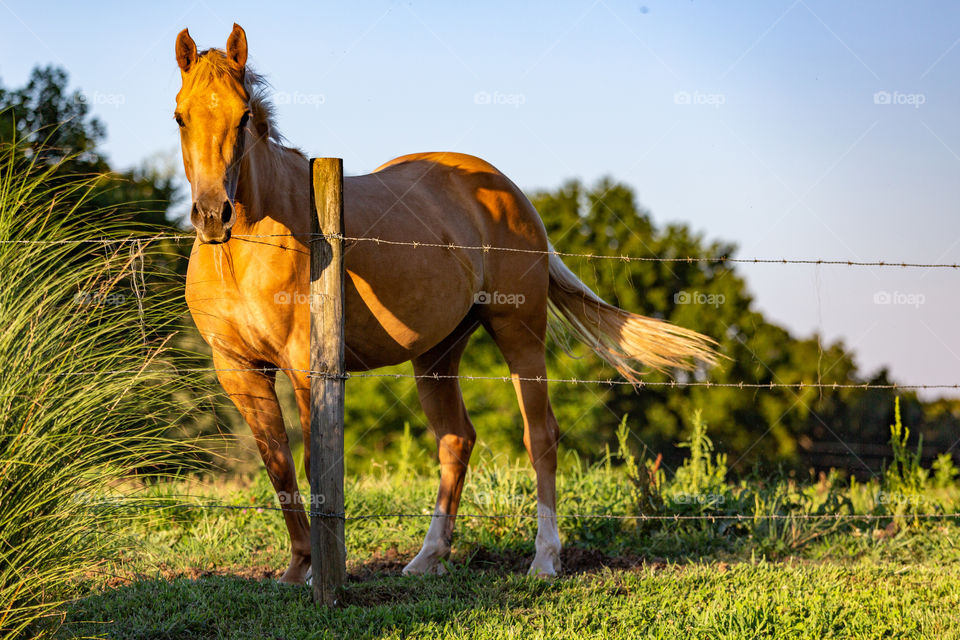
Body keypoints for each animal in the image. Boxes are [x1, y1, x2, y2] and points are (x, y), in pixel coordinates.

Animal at [175, 24, 717, 583]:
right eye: (180, 115)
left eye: (244, 116)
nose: (213, 214)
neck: (246, 250)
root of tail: (510, 192)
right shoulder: (239, 370)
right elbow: (278, 465)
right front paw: (298, 567)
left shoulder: (308, 368)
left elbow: (312, 466)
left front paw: (318, 570)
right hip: (436, 355)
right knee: (456, 441)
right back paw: (428, 557)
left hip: (519, 332)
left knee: (540, 436)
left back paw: (545, 558)